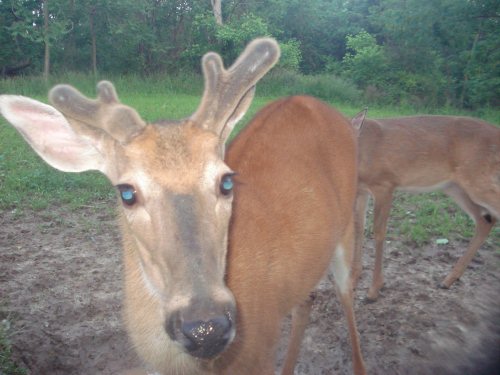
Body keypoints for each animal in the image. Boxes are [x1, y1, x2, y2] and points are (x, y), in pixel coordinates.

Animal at [0, 39, 368, 375]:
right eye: (127, 192)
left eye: (227, 181)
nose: (206, 327)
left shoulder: (259, 351)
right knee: (307, 301)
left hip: (349, 228)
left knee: (348, 298)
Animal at [352, 113, 500, 302]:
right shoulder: (361, 190)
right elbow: (359, 228)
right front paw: (354, 278)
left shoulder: (384, 184)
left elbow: (378, 233)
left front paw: (373, 290)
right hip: (455, 187)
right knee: (485, 221)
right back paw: (448, 280)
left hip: (478, 179)